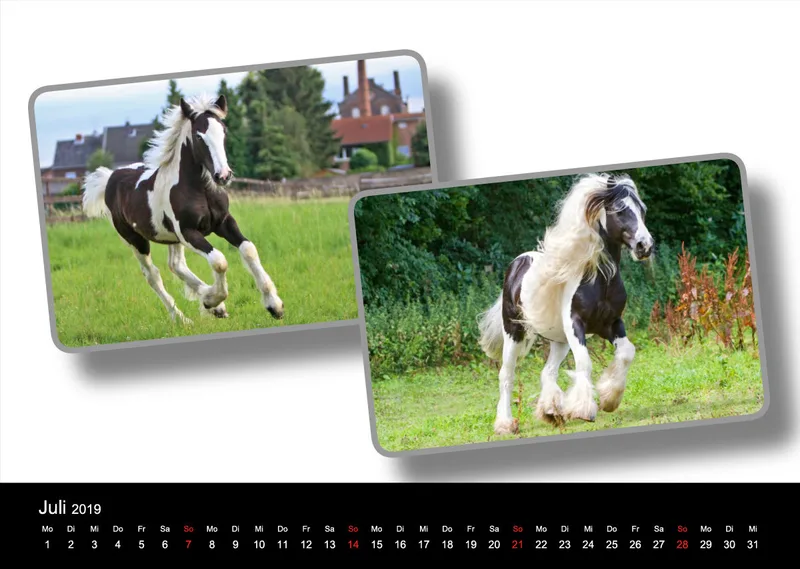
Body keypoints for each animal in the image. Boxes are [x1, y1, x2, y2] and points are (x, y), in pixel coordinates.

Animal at [81, 93, 284, 325]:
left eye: (223, 131)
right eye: (199, 136)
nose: (223, 176)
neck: (200, 189)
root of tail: (110, 178)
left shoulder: (224, 222)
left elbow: (248, 249)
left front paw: (274, 306)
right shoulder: (187, 232)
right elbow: (219, 261)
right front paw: (212, 300)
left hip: (172, 238)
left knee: (176, 264)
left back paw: (213, 305)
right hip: (136, 240)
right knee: (153, 275)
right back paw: (183, 318)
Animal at [477, 173, 653, 435]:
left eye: (642, 210)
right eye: (620, 210)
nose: (645, 246)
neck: (599, 280)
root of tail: (518, 263)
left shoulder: (611, 323)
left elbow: (626, 353)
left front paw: (609, 399)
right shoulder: (575, 324)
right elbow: (584, 362)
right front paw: (584, 410)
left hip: (559, 340)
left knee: (547, 372)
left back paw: (552, 412)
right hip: (514, 332)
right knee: (506, 375)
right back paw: (505, 424)